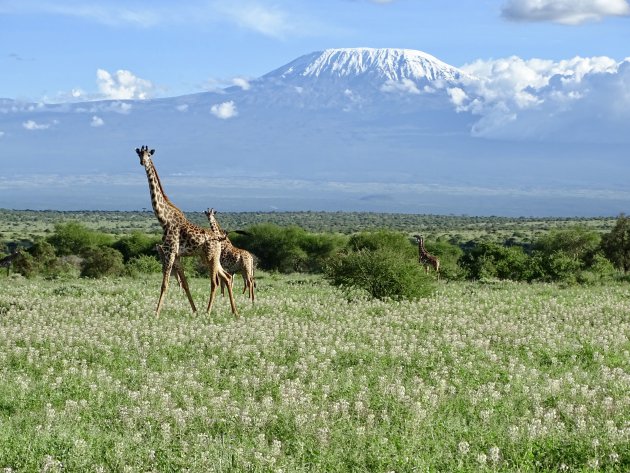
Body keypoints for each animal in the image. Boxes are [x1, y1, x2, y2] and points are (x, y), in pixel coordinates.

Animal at [135, 145, 238, 318]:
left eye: (149, 155)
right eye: (139, 155)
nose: (143, 162)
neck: (164, 220)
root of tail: (219, 238)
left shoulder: (170, 252)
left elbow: (165, 284)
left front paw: (156, 313)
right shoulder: (176, 255)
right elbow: (185, 284)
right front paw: (194, 310)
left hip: (210, 257)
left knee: (215, 282)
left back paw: (208, 311)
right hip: (210, 257)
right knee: (228, 277)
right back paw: (234, 312)